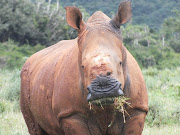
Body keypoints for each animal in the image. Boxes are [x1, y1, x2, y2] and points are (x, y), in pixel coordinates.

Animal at [20, 0, 148, 134]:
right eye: (82, 66)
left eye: (120, 63)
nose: (104, 88)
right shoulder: (71, 114)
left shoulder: (137, 110)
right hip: (25, 78)